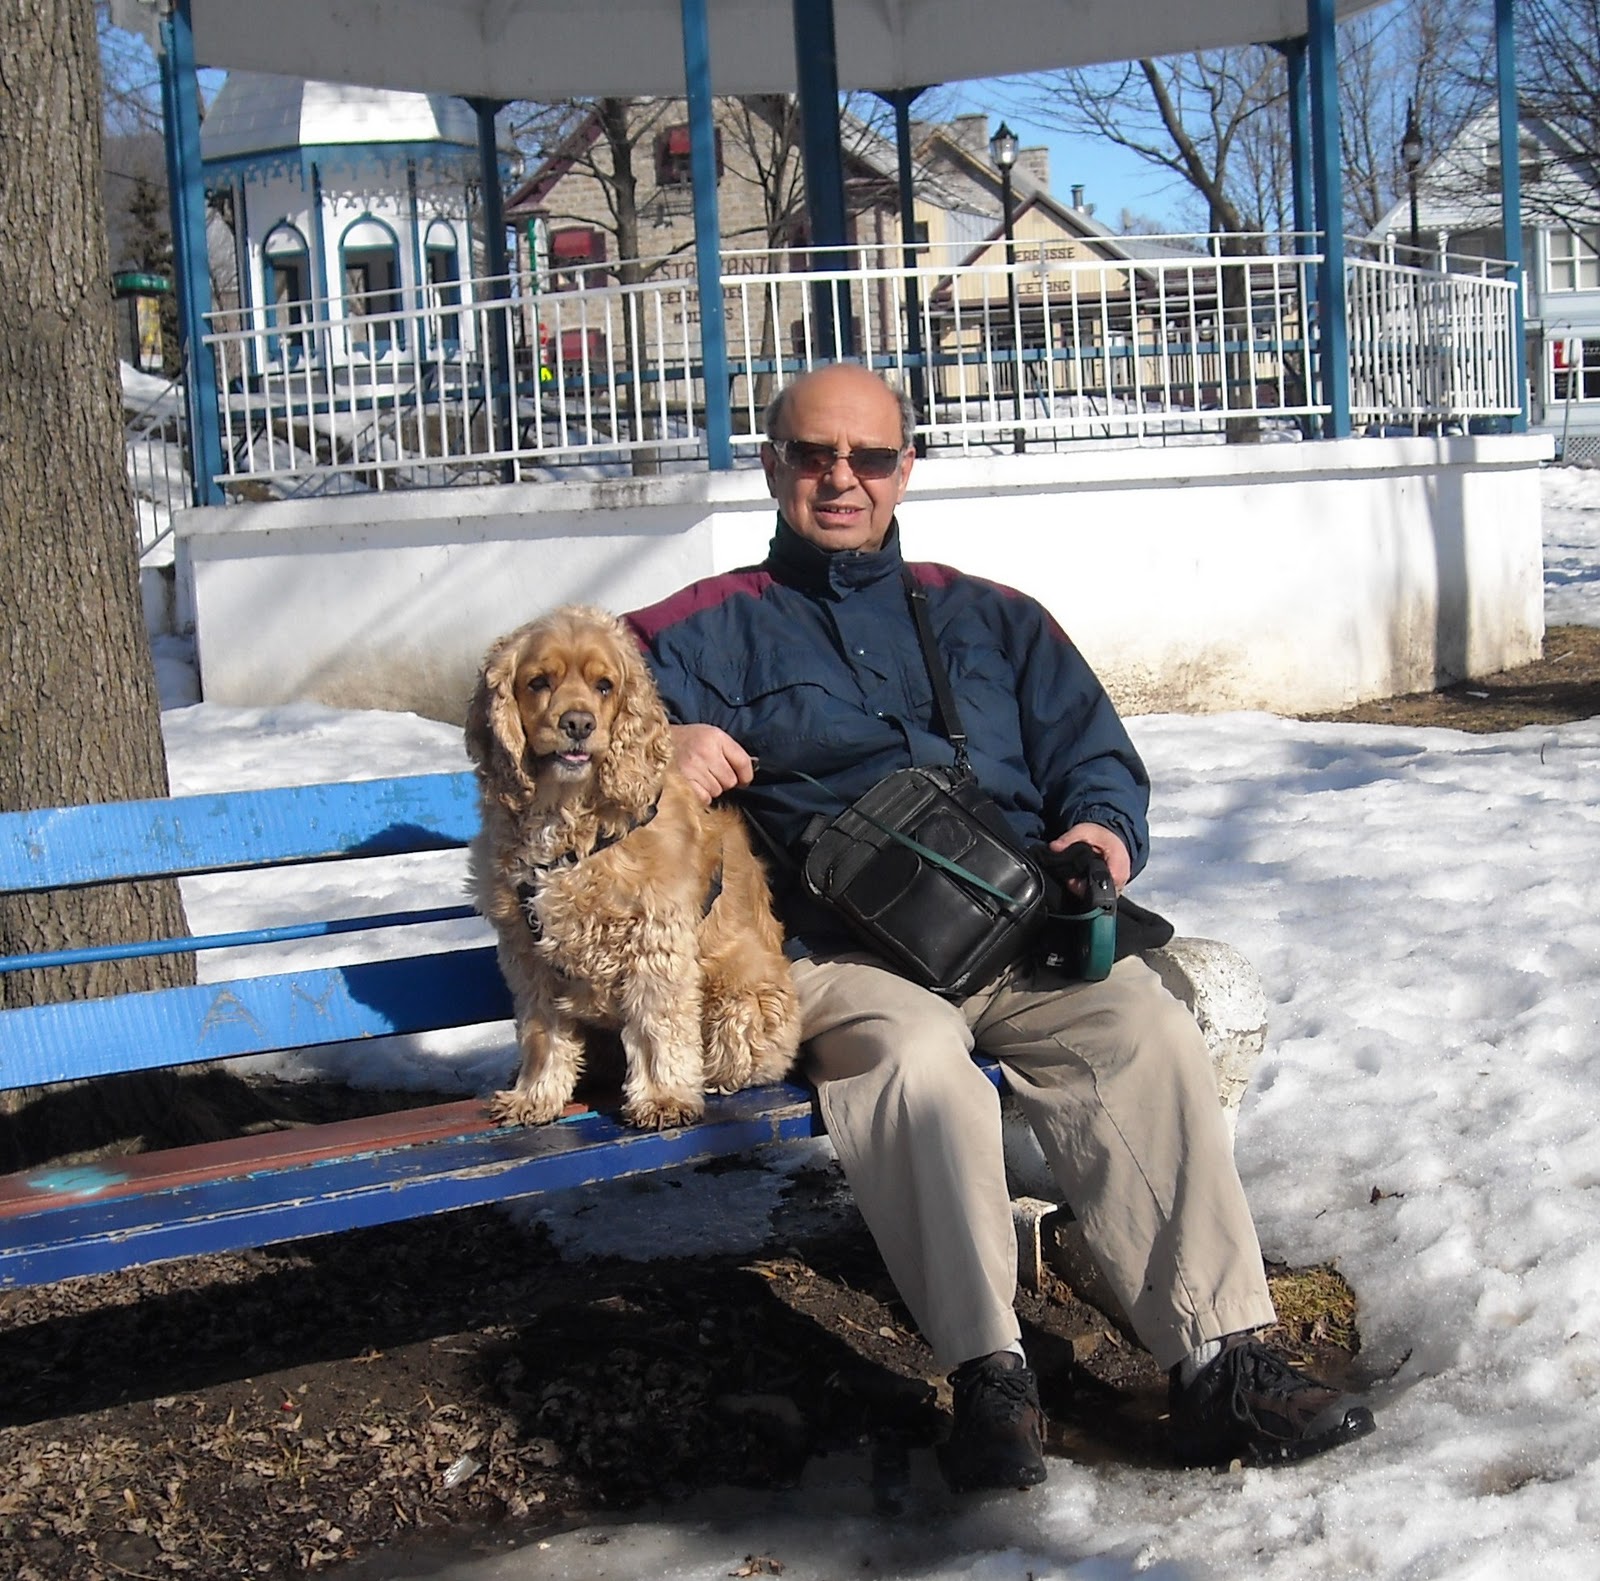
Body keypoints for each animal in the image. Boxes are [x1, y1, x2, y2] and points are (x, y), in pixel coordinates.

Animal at [465, 605, 802, 1130]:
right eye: (538, 682)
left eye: (604, 686)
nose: (577, 723)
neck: (568, 827)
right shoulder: (527, 952)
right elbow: (541, 1034)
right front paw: (533, 1096)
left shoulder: (654, 939)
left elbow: (655, 1026)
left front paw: (663, 1098)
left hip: (742, 997)